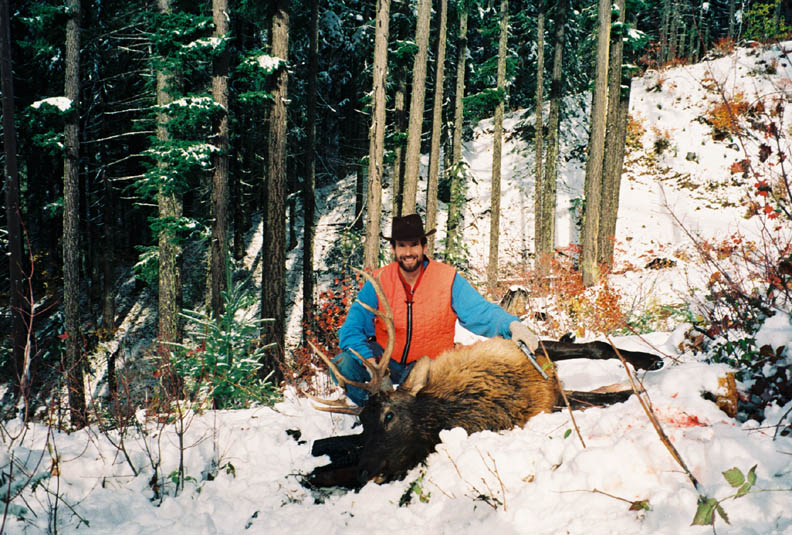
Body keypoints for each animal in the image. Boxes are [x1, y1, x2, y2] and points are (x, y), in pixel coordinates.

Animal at [306, 270, 664, 488]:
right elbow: (605, 396)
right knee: (320, 448)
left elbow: (597, 347)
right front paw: (634, 387)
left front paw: (650, 360)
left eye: (389, 415)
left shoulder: (526, 350)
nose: (365, 472)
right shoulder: (549, 402)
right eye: (364, 424)